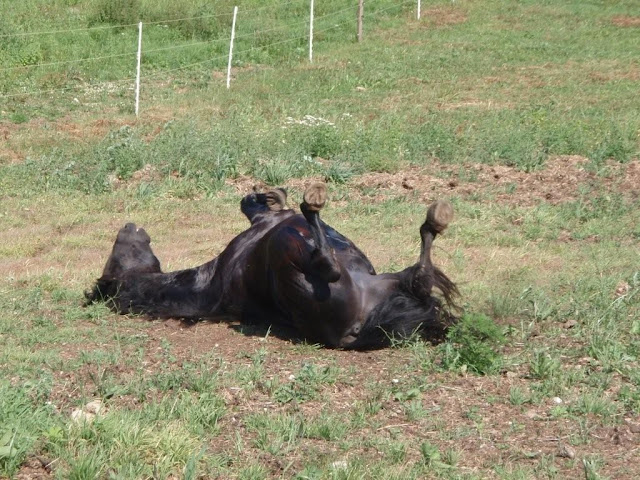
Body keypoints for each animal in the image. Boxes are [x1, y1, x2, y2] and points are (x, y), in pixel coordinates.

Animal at [85, 184, 458, 348]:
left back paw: (435, 220)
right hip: (293, 257)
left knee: (420, 277)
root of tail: (354, 330)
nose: (127, 225)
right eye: (114, 259)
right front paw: (274, 198)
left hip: (392, 281)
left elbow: (254, 205)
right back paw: (312, 204)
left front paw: (268, 194)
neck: (206, 283)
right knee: (328, 264)